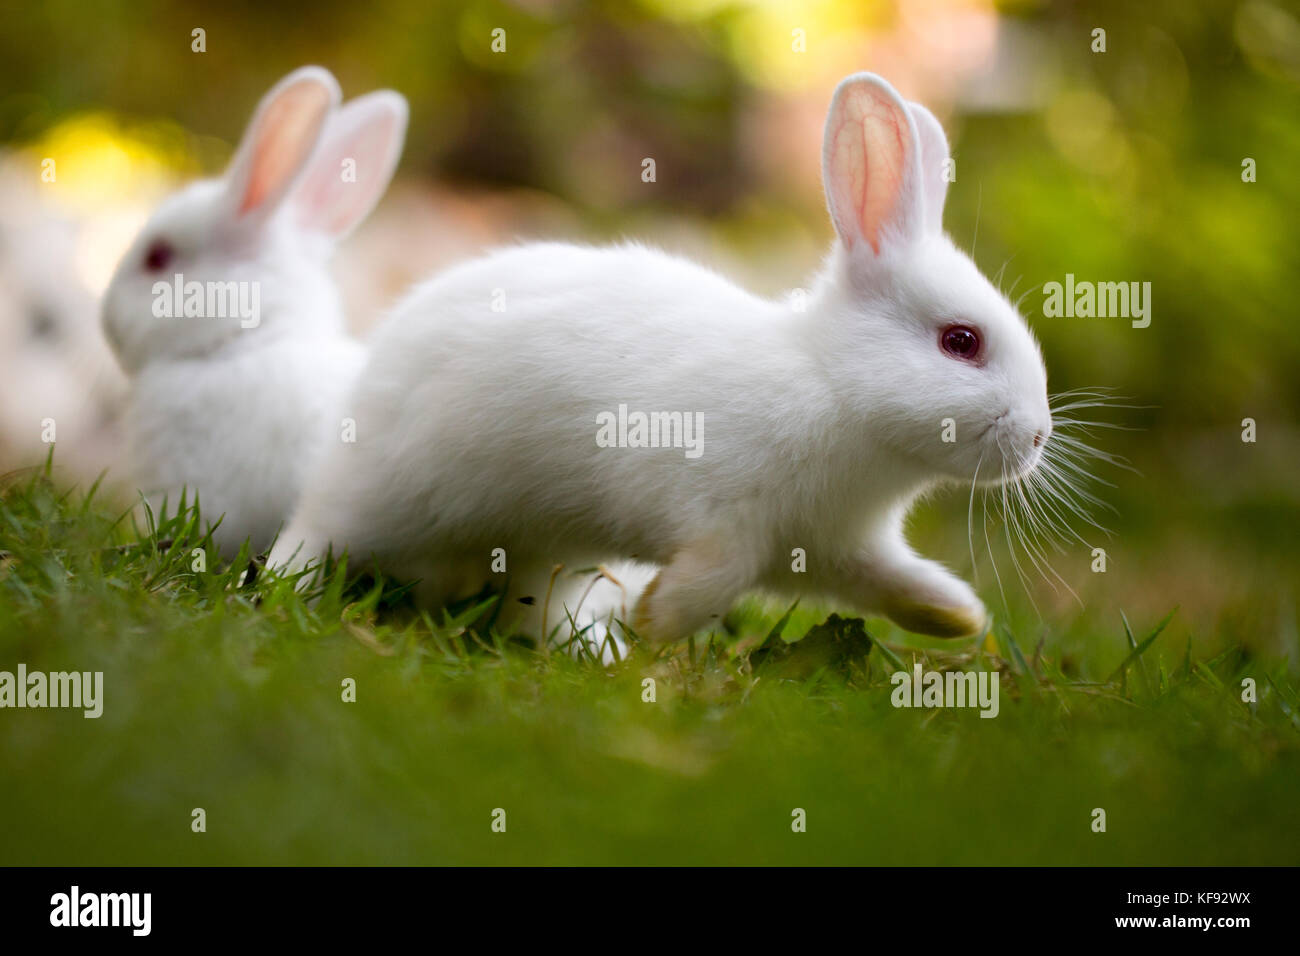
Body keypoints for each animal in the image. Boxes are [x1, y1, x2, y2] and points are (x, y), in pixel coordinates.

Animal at [269, 72, 1050, 642]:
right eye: (961, 342)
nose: (1039, 436)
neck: (832, 389)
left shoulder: (835, 547)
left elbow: (891, 580)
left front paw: (960, 618)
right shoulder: (721, 517)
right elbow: (705, 581)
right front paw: (655, 628)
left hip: (539, 550)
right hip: (386, 494)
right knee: (315, 532)